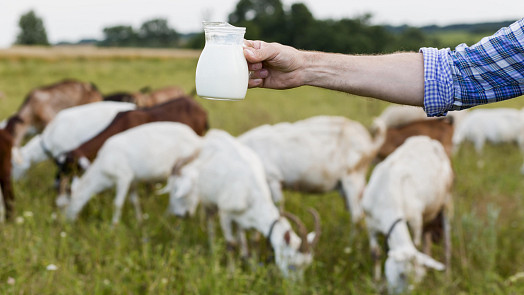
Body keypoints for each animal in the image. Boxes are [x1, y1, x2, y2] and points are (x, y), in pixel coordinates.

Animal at [65, 121, 203, 225]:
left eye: (67, 203)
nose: (66, 221)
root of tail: (197, 139)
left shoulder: (123, 177)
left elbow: (118, 203)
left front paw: (113, 226)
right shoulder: (132, 181)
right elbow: (134, 201)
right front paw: (139, 221)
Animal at [162, 130, 322, 280]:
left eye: (306, 265)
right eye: (290, 262)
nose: (295, 286)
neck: (251, 192)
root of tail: (212, 136)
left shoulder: (252, 218)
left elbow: (255, 241)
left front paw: (254, 268)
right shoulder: (225, 213)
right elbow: (230, 244)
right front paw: (231, 273)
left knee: (240, 231)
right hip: (207, 199)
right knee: (211, 220)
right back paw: (213, 249)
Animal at [362, 137, 452, 295]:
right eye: (402, 275)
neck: (387, 197)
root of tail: (427, 140)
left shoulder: (415, 221)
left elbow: (416, 244)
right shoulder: (370, 223)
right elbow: (375, 253)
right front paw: (376, 280)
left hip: (446, 200)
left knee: (446, 240)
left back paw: (447, 277)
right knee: (427, 238)